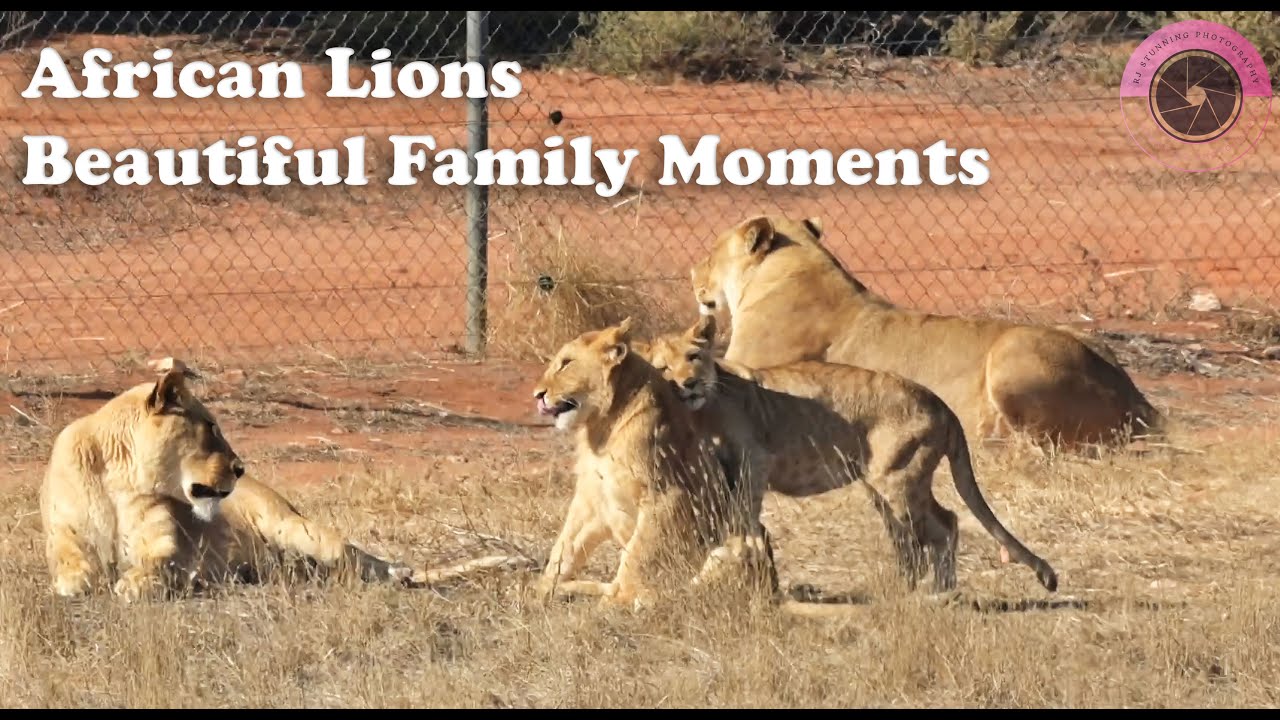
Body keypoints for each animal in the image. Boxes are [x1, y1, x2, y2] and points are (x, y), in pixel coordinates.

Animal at [40, 357, 532, 602]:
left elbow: (155, 563)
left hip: (294, 526)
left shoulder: (168, 545)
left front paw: (133, 583)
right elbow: (72, 569)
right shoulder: (63, 536)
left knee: (361, 560)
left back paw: (396, 573)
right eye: (211, 427)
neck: (122, 481)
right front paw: (81, 582)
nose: (241, 468)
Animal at [531, 318, 777, 610]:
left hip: (737, 541)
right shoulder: (591, 498)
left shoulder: (666, 494)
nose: (538, 395)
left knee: (690, 592)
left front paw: (617, 604)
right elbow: (565, 546)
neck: (603, 426)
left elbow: (637, 555)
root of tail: (775, 594)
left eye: (566, 363)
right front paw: (541, 590)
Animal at [641, 315, 1059, 595]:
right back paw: (923, 590)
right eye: (663, 367)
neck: (701, 409)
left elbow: (745, 517)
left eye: (694, 357)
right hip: (884, 486)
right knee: (934, 528)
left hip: (896, 478)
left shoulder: (753, 464)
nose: (689, 383)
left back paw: (925, 593)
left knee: (937, 530)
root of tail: (940, 403)